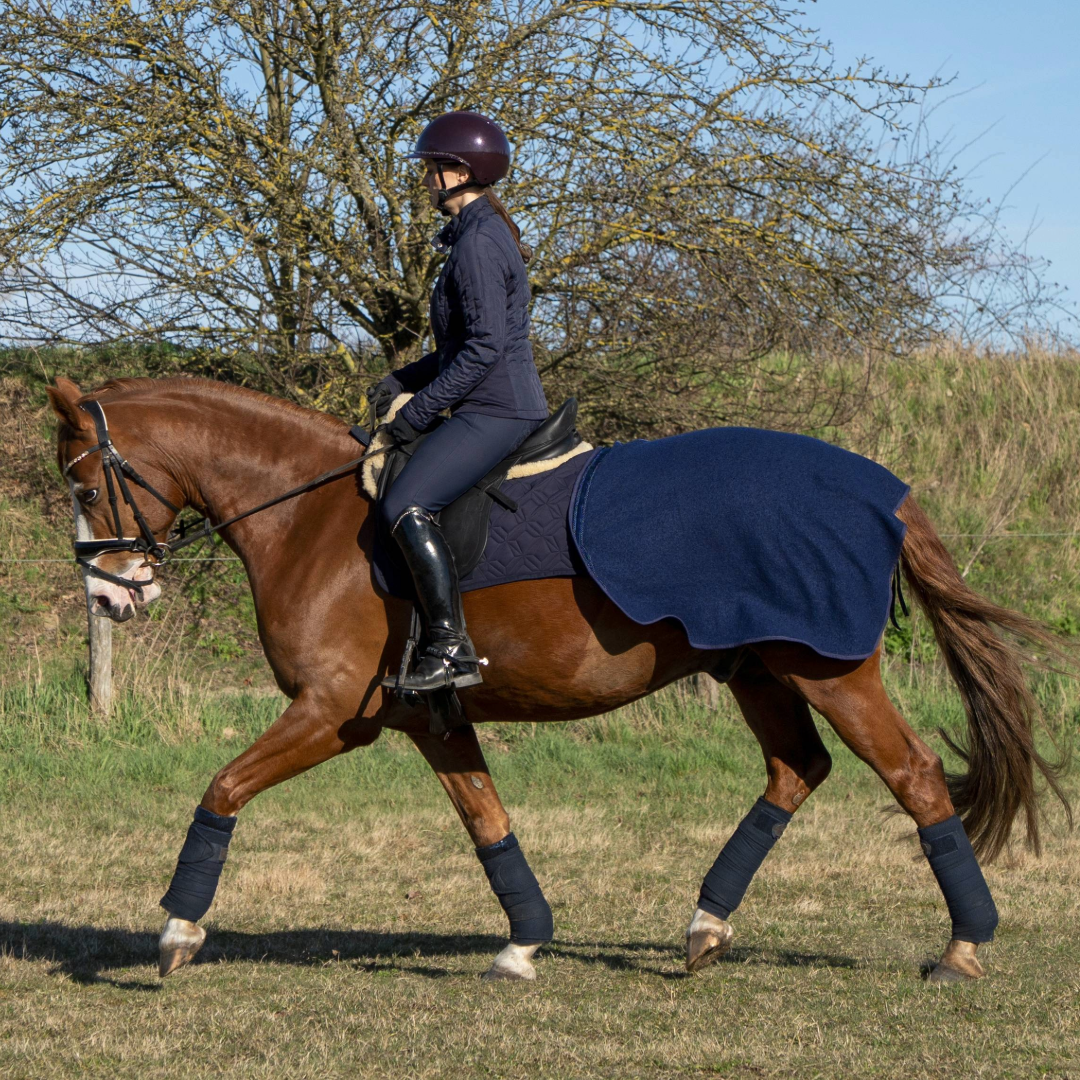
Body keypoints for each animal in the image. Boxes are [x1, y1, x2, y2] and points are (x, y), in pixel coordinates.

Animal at [46, 375, 1068, 984]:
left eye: (85, 484)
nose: (110, 595)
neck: (311, 518)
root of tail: (879, 490)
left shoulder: (334, 711)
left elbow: (222, 787)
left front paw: (177, 933)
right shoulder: (430, 718)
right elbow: (487, 822)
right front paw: (523, 940)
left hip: (832, 673)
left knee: (914, 779)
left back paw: (962, 948)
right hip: (757, 671)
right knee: (795, 771)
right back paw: (705, 926)